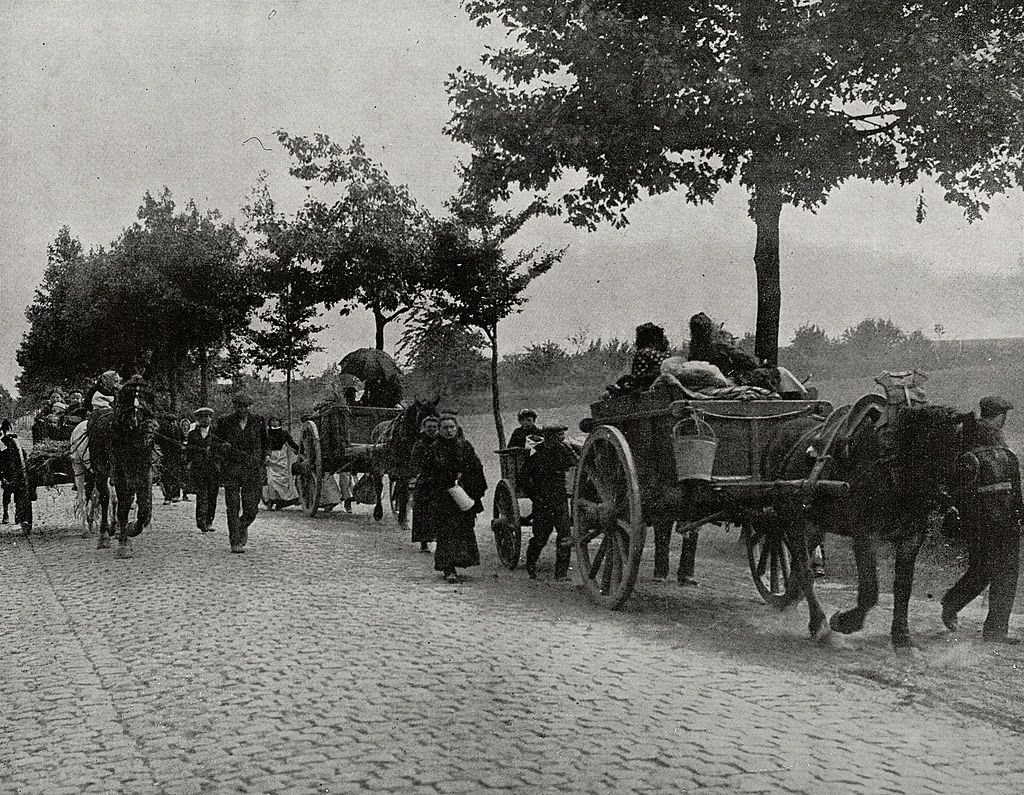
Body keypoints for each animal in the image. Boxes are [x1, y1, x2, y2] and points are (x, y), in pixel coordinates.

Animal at [87, 374, 158, 557]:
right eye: (129, 395)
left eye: (145, 396)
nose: (135, 419)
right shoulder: (119, 473)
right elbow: (123, 506)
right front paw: (123, 545)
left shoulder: (144, 470)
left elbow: (144, 506)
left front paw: (132, 529)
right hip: (100, 470)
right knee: (105, 498)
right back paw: (104, 536)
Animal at [370, 397, 438, 528]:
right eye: (421, 414)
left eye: (437, 415)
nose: (431, 432)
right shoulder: (402, 469)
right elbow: (402, 491)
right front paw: (402, 519)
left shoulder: (413, 471)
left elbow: (406, 492)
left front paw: (404, 518)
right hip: (377, 466)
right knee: (379, 487)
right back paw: (378, 512)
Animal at [761, 393, 966, 647]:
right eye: (933, 447)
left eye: (958, 448)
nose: (947, 499)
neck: (891, 468)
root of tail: (781, 430)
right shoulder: (865, 535)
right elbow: (870, 590)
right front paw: (845, 622)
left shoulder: (911, 538)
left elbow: (903, 587)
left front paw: (901, 635)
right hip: (793, 519)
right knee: (804, 569)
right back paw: (818, 623)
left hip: (814, 524)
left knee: (800, 568)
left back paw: (792, 601)